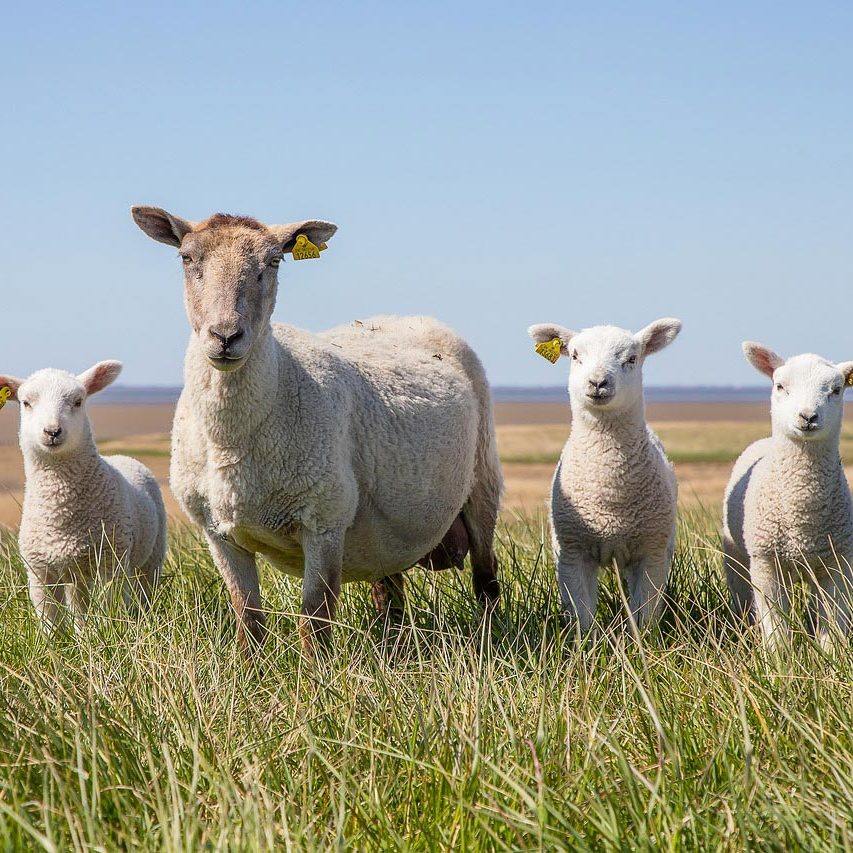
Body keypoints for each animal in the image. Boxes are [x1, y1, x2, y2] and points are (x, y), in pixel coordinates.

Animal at [0, 362, 167, 632]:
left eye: (78, 401)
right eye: (26, 403)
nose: (52, 431)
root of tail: (121, 456)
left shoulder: (109, 563)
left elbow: (109, 609)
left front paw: (107, 634)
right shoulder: (39, 572)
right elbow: (49, 624)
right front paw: (56, 643)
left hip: (150, 557)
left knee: (143, 592)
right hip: (75, 572)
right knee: (79, 607)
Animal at [130, 206, 502, 656]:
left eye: (274, 262)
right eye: (187, 258)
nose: (225, 336)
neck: (233, 439)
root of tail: (406, 317)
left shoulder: (324, 521)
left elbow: (315, 618)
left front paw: (316, 673)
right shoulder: (218, 533)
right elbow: (247, 618)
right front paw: (250, 669)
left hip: (483, 481)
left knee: (486, 577)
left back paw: (491, 640)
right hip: (387, 532)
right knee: (390, 593)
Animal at [528, 318, 682, 632]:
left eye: (632, 359)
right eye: (575, 356)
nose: (597, 383)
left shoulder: (652, 553)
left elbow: (644, 614)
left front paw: (642, 642)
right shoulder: (571, 553)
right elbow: (581, 615)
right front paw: (586, 642)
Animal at [723, 343, 853, 646]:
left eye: (836, 389)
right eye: (780, 386)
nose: (808, 417)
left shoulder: (837, 564)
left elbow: (832, 623)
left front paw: (829, 655)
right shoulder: (765, 564)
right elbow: (775, 626)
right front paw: (777, 657)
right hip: (736, 557)